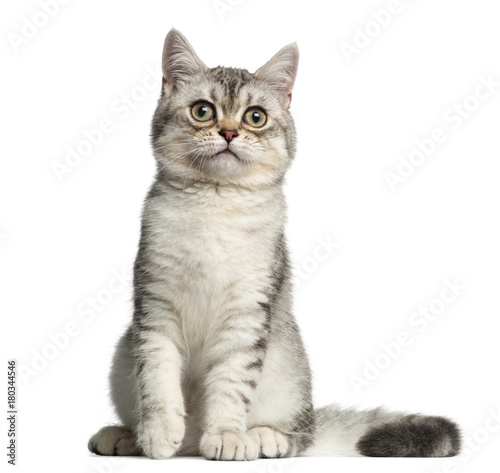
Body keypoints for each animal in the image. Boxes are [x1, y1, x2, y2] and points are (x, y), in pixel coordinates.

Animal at [87, 28, 460, 458]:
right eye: (203, 111)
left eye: (255, 117)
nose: (229, 132)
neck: (216, 203)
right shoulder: (154, 309)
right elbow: (157, 380)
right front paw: (158, 433)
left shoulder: (248, 314)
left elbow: (231, 386)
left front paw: (227, 436)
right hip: (122, 354)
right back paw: (125, 436)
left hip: (288, 366)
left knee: (302, 434)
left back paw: (262, 437)